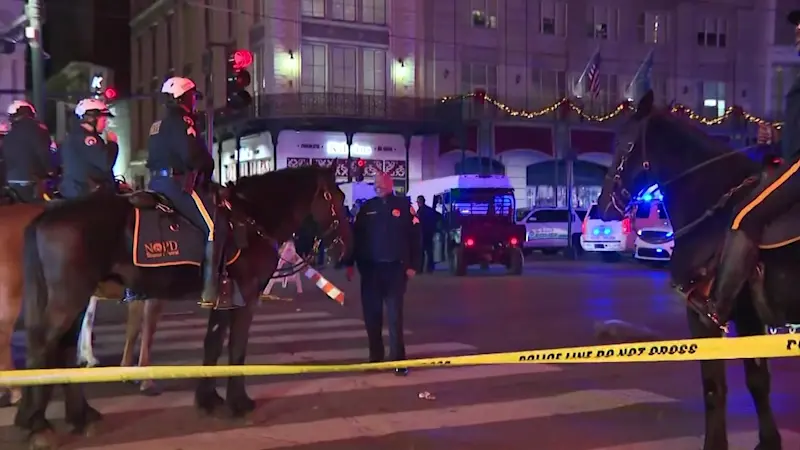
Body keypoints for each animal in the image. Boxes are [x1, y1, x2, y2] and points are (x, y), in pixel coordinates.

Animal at [14, 166, 352, 450]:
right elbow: (237, 349)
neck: (251, 217)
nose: (344, 251)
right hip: (69, 298)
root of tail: (46, 216)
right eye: (337, 198)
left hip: (77, 298)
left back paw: (79, 417)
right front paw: (239, 403)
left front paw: (209, 400)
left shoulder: (224, 297)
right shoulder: (246, 296)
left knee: (63, 347)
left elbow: (212, 344)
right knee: (43, 346)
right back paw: (37, 424)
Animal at [596, 91, 796, 450]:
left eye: (625, 143)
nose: (604, 204)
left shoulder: (708, 318)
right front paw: (768, 441)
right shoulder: (749, 318)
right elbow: (756, 381)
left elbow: (716, 387)